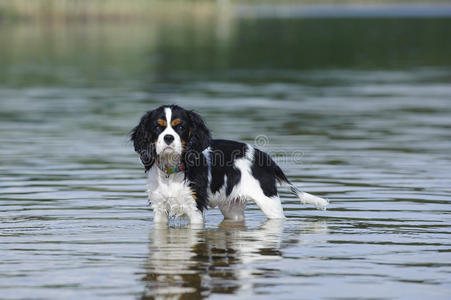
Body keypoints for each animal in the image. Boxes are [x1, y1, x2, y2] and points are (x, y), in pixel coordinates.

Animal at [131, 104, 328, 224]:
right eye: (158, 127)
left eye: (180, 127)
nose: (168, 138)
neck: (171, 171)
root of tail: (264, 156)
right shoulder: (159, 210)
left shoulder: (195, 208)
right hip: (232, 210)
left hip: (270, 203)